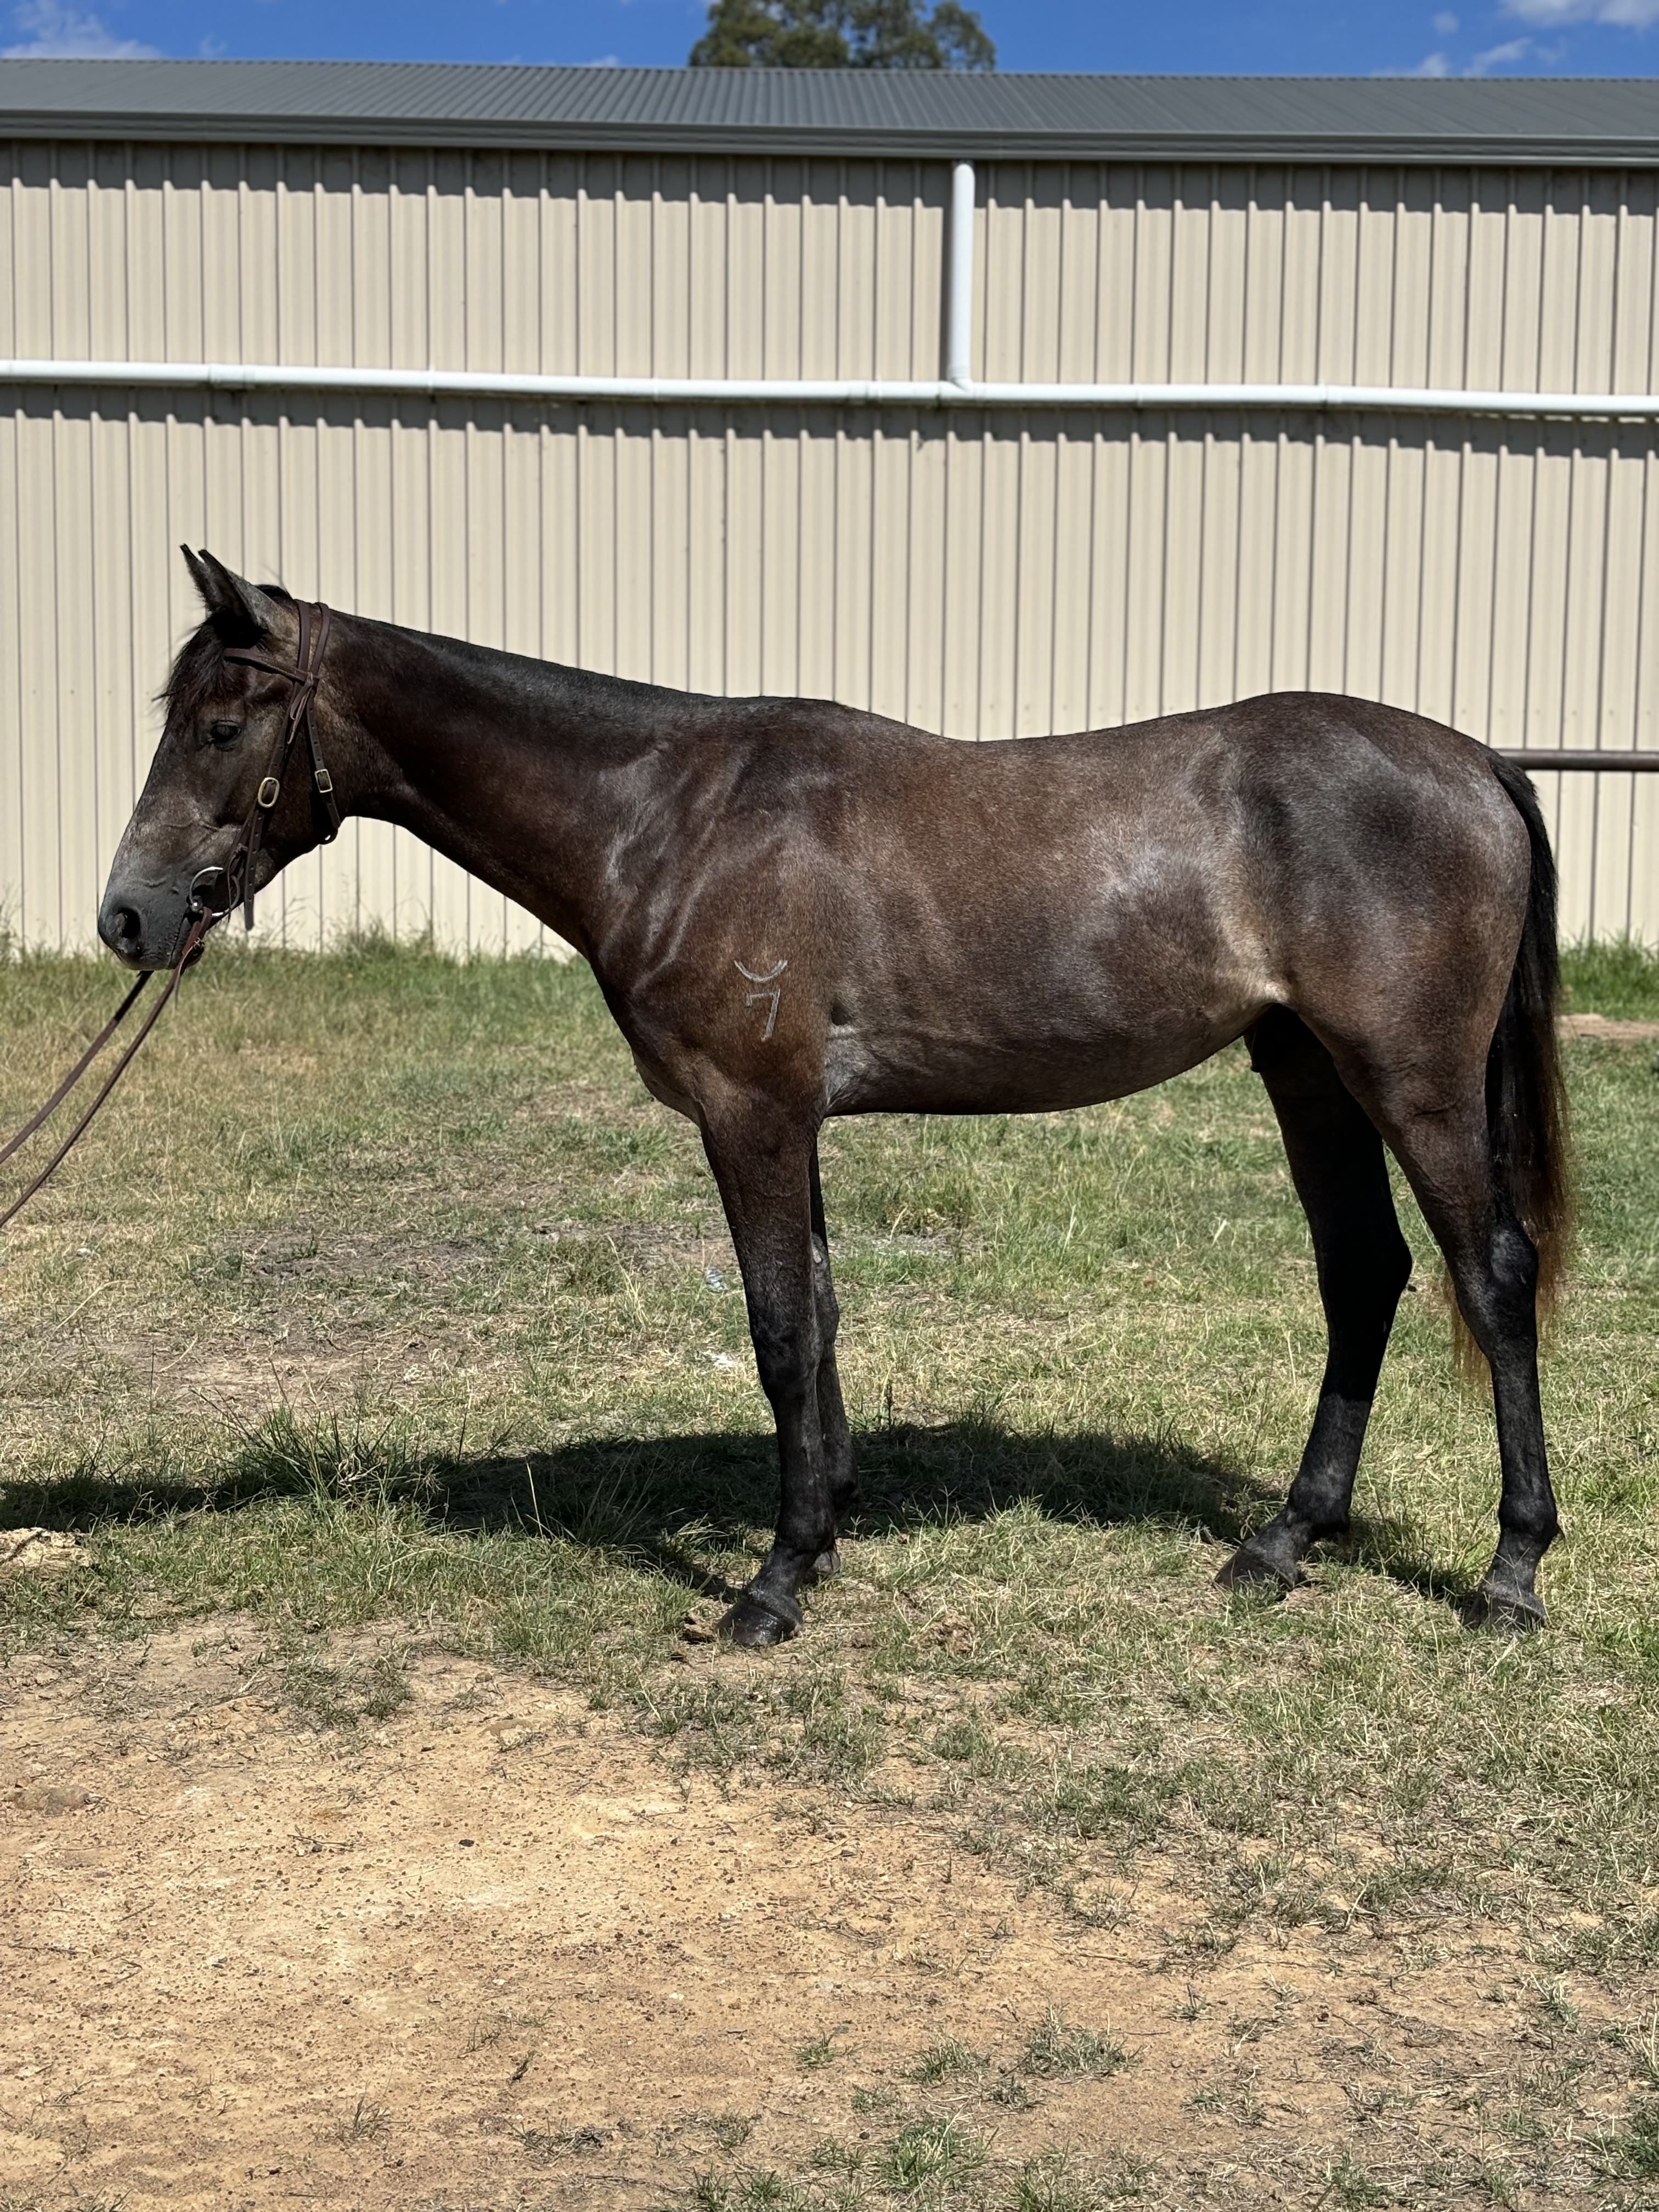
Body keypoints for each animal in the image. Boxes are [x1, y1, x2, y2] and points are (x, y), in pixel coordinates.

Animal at [98, 548, 1570, 1648]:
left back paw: (1510, 1572)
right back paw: (1281, 1544)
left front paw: (772, 1582)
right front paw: (830, 1525)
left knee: (1490, 1275)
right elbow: (820, 1311)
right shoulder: (791, 1119)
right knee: (1363, 1274)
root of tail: (1476, 761)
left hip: (1410, 1082)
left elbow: (777, 1330)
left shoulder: (748, 1112)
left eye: (222, 725)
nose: (127, 917)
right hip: (1307, 1071)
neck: (666, 819)